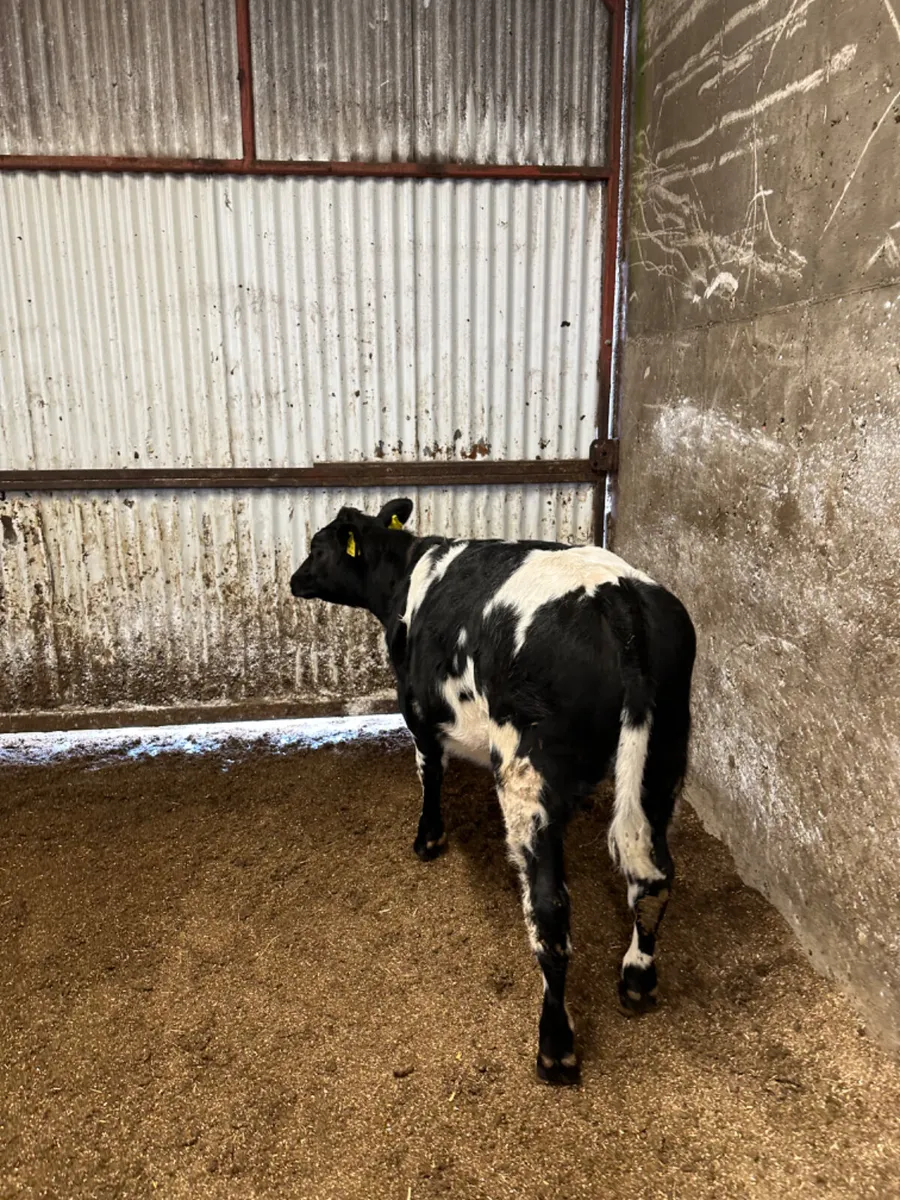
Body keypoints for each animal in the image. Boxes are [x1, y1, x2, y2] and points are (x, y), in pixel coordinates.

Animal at [290, 497, 696, 1085]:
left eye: (317, 547)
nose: (294, 579)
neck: (405, 575)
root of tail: (614, 592)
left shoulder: (419, 710)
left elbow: (429, 772)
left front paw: (428, 840)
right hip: (664, 757)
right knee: (654, 877)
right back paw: (638, 980)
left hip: (529, 772)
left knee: (550, 912)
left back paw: (555, 1048)